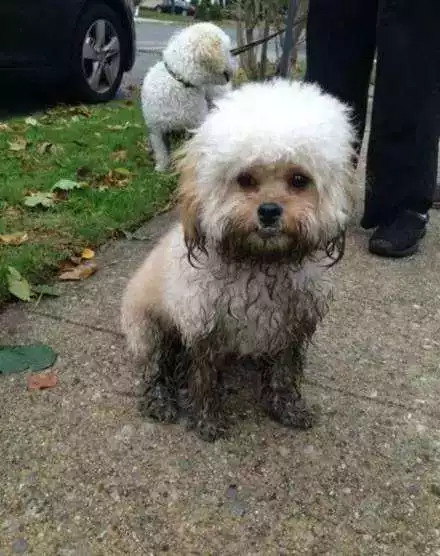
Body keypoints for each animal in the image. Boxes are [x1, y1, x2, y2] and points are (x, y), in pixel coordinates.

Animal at [122, 80, 356, 440]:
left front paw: (286, 406)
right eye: (245, 179)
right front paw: (207, 419)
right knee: (156, 368)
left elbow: (283, 372)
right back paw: (160, 399)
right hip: (149, 328)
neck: (259, 261)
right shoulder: (202, 326)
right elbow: (203, 377)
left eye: (299, 180)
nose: (269, 211)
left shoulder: (291, 326)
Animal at [143, 22, 235, 172]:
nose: (233, 70)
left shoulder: (195, 126)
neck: (180, 81)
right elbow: (161, 151)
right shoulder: (157, 129)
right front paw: (161, 168)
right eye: (228, 51)